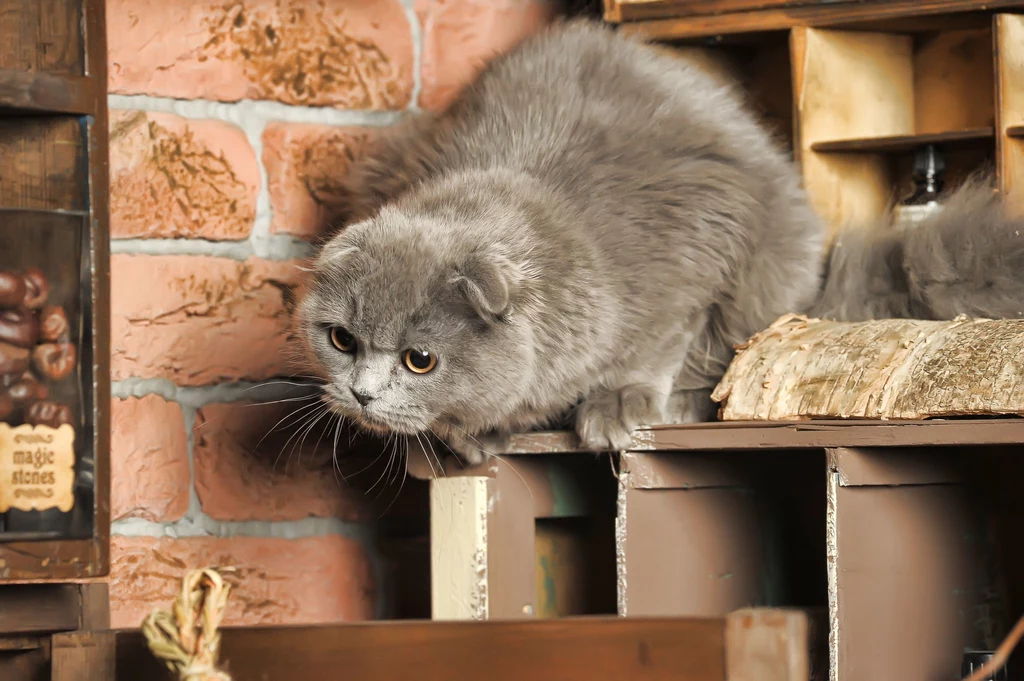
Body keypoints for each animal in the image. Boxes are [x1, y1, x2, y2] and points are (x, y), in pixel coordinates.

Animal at [294, 18, 1024, 462]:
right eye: (342, 340)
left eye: (420, 359)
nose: (361, 393)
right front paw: (470, 438)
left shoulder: (700, 239)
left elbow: (657, 344)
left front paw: (616, 405)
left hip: (772, 262)